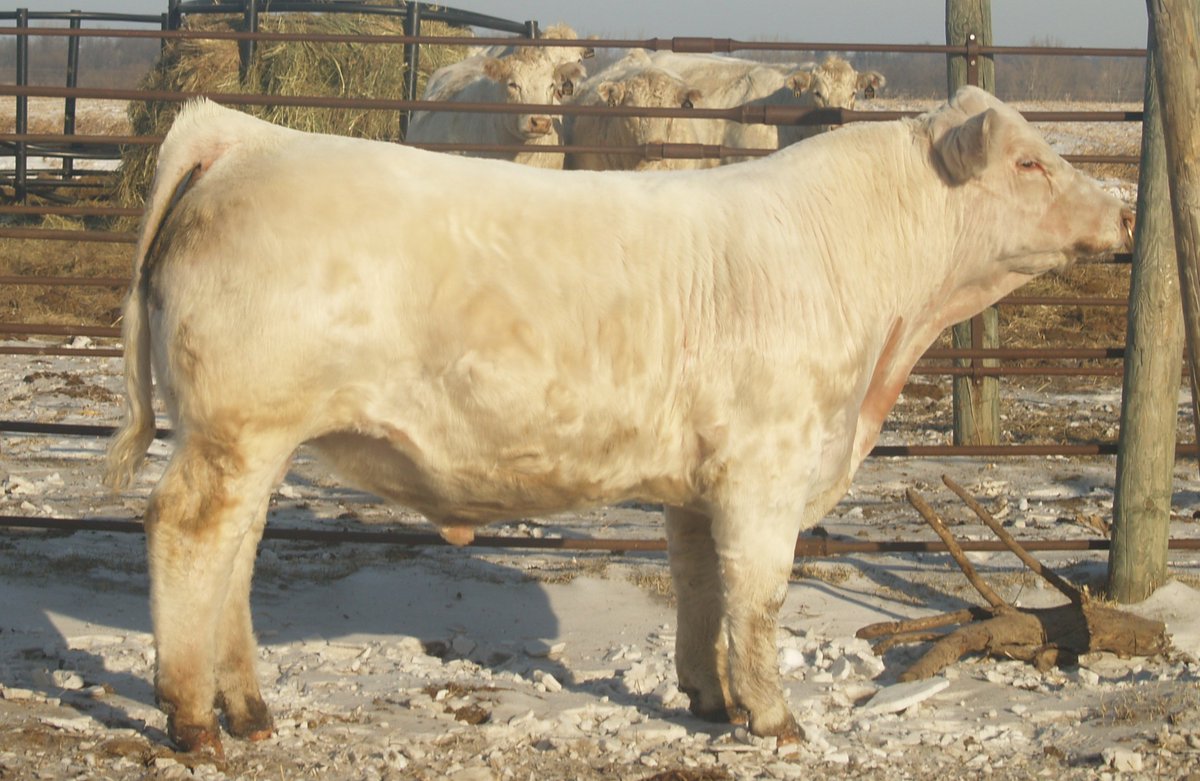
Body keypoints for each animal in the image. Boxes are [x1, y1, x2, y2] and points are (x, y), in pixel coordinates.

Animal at [105, 86, 1133, 755]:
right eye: (1030, 160)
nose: (1121, 214)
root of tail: (244, 136)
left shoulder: (699, 483)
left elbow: (701, 586)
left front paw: (711, 699)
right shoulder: (765, 470)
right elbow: (758, 597)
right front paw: (776, 717)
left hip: (252, 439)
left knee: (235, 553)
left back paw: (248, 708)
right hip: (237, 431)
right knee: (187, 535)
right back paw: (192, 718)